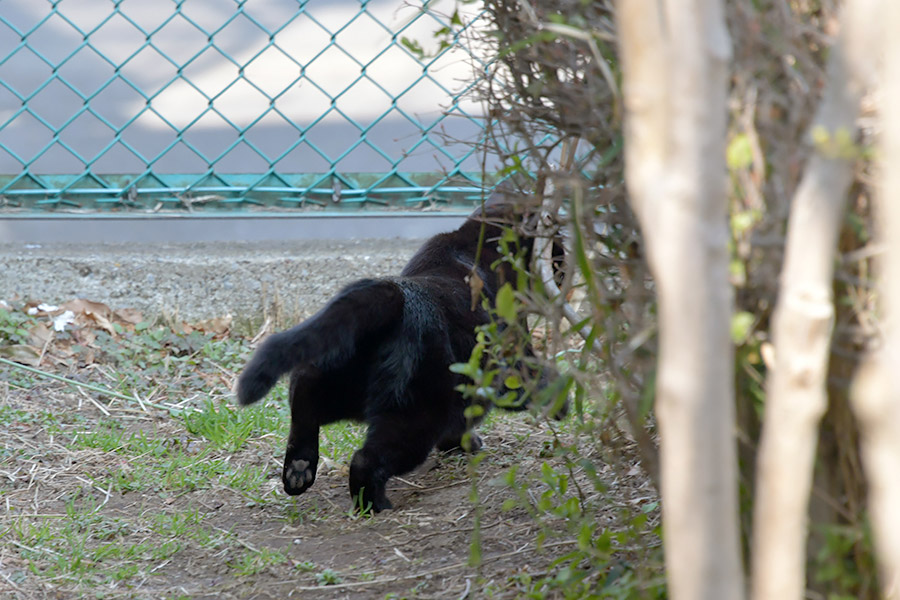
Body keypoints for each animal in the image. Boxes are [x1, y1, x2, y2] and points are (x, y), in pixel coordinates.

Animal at [236, 195, 560, 512]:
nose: (561, 261)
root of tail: (393, 296)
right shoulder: (511, 346)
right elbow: (529, 380)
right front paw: (560, 404)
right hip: (418, 412)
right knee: (366, 459)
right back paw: (375, 505)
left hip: (334, 381)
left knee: (303, 400)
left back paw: (299, 471)